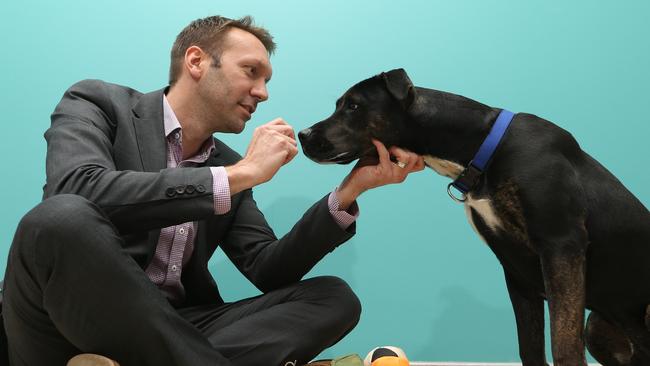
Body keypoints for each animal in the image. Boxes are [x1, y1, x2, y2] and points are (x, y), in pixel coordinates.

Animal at [298, 68, 648, 366]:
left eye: (354, 106)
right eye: (340, 105)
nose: (302, 134)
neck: (481, 150)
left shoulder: (562, 246)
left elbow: (563, 346)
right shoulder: (518, 271)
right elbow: (529, 347)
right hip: (599, 329)